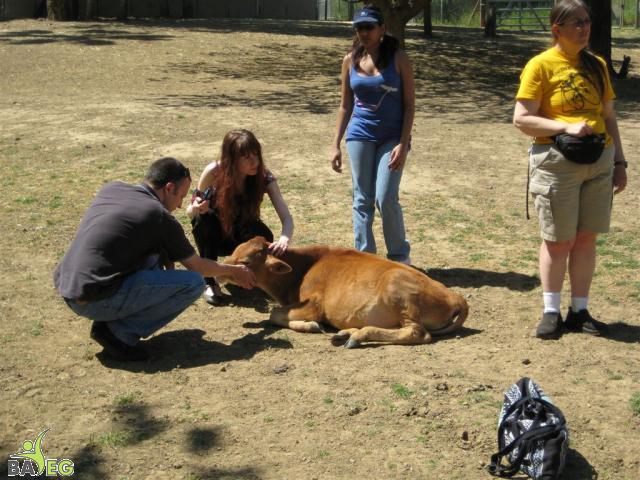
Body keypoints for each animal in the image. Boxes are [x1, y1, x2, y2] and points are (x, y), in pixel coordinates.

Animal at [222, 236, 468, 348]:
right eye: (234, 250)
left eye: (245, 261)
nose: (220, 271)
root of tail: (455, 296)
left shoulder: (315, 305)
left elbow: (274, 314)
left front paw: (311, 326)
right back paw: (345, 333)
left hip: (399, 291)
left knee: (417, 333)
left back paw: (357, 336)